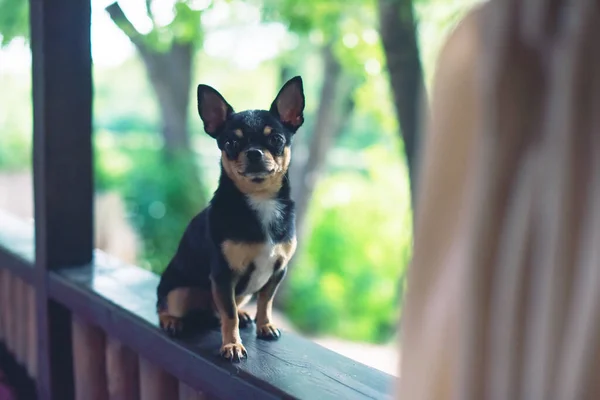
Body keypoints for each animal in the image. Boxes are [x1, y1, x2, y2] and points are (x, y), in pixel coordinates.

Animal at [157, 76, 304, 362]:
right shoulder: (224, 276)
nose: (254, 152)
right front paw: (232, 346)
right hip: (179, 293)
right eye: (230, 144)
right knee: (165, 305)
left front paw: (265, 325)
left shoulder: (277, 271)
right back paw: (171, 320)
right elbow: (229, 314)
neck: (261, 201)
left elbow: (265, 301)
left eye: (277, 139)